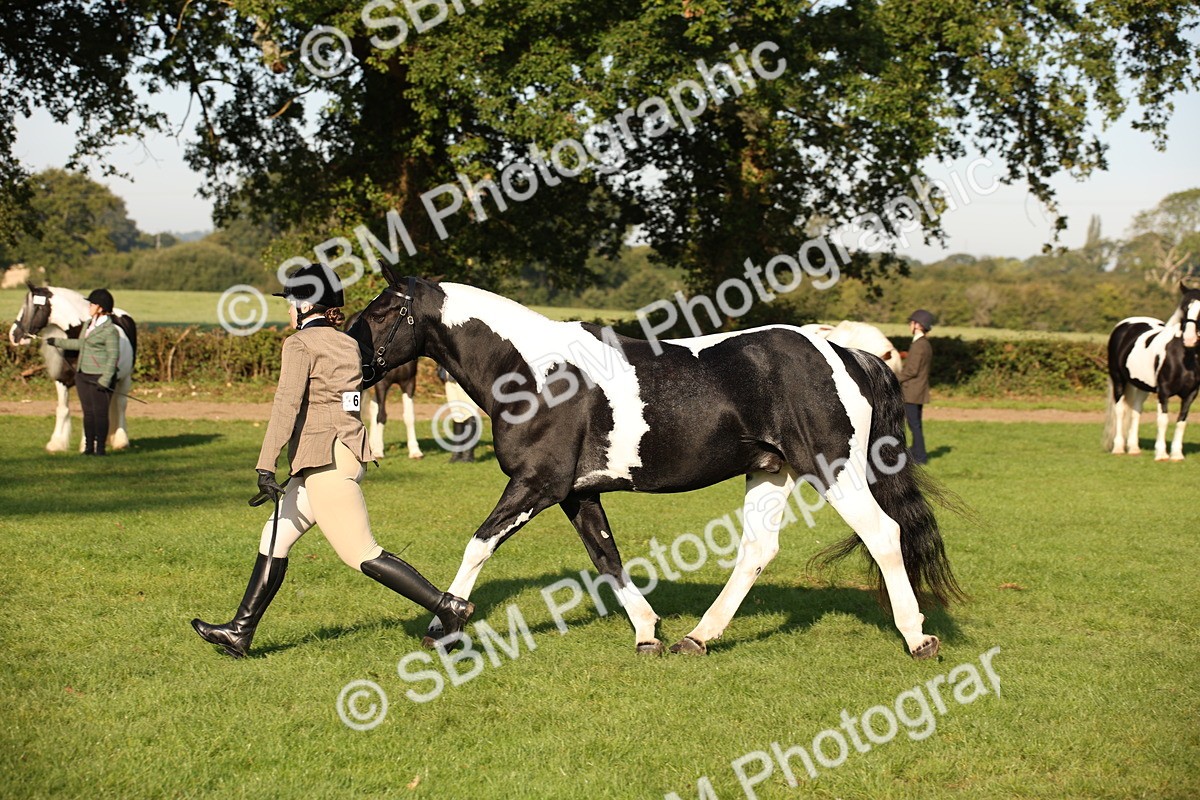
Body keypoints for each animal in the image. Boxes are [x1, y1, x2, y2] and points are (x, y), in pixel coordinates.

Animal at [8, 284, 138, 453]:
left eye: (34, 307)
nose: (13, 336)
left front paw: (87, 445)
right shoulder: (62, 380)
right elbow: (63, 409)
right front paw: (56, 444)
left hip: (125, 378)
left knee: (121, 405)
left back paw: (121, 441)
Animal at [344, 311, 424, 460]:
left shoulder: (409, 383)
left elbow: (409, 416)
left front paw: (415, 450)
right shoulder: (382, 384)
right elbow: (381, 416)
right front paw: (378, 451)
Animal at [1104, 284, 1200, 461]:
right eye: (1185, 308)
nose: (1189, 339)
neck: (1183, 357)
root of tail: (1125, 324)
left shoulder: (1191, 394)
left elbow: (1181, 421)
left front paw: (1177, 454)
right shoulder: (1163, 392)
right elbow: (1163, 420)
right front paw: (1161, 454)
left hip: (1142, 386)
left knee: (1136, 412)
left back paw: (1134, 448)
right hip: (1118, 380)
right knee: (1120, 411)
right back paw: (1118, 448)